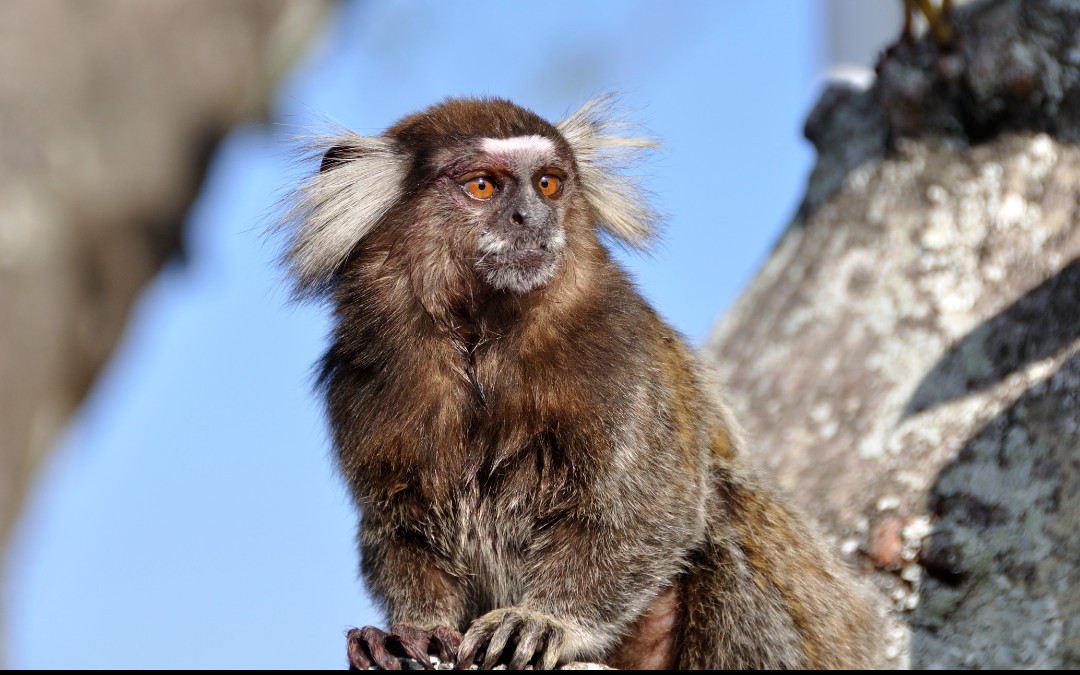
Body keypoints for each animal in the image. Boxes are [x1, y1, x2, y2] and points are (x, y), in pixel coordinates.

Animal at [282, 95, 881, 669]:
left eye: (547, 183)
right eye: (483, 185)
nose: (531, 218)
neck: (481, 341)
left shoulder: (622, 355)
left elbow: (652, 508)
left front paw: (546, 621)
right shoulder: (361, 380)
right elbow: (397, 533)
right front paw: (414, 628)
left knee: (726, 504)